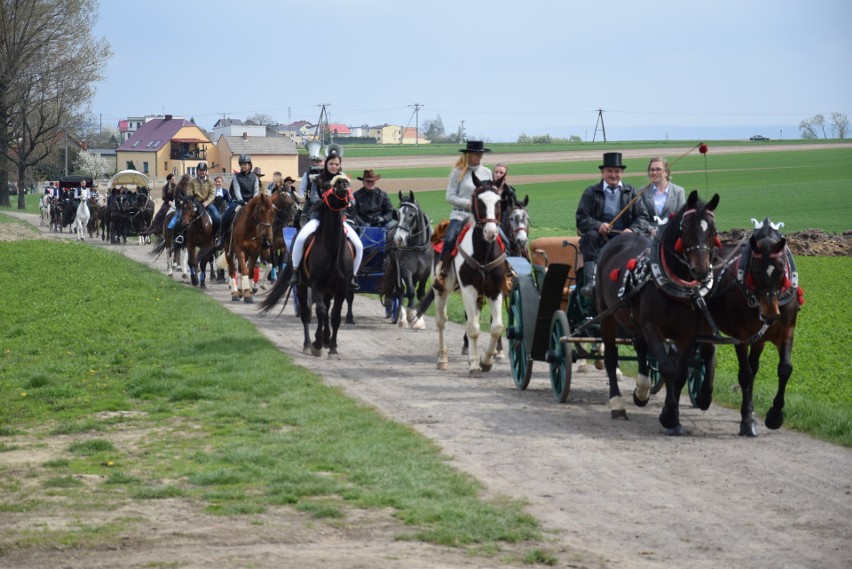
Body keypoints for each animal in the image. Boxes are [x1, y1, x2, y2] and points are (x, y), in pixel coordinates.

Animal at [260, 175, 352, 358]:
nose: (342, 183)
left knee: (327, 308)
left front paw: (332, 347)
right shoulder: (316, 285)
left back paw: (326, 338)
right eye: (325, 186)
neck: (332, 250)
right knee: (306, 314)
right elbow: (320, 311)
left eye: (344, 179)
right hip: (302, 286)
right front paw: (317, 344)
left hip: (328, 290)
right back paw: (308, 343)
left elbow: (335, 315)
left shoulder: (341, 288)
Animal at [380, 190, 432, 328]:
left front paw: (418, 319)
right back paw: (401, 318)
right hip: (396, 268)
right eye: (398, 214)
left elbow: (421, 293)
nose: (398, 239)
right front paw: (410, 315)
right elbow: (410, 292)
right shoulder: (405, 270)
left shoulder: (426, 272)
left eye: (411, 214)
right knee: (400, 291)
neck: (418, 247)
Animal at [432, 175, 506, 374]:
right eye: (478, 200)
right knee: (441, 321)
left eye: (498, 202)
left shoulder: (495, 290)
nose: (490, 232)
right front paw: (474, 364)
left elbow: (496, 327)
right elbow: (473, 328)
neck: (483, 254)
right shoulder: (468, 289)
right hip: (441, 290)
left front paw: (486, 361)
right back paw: (442, 359)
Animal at [596, 191, 724, 434]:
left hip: (633, 321)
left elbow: (680, 372)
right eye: (686, 228)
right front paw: (670, 417)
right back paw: (617, 404)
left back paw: (641, 391)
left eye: (712, 230)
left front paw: (672, 416)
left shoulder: (688, 333)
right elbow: (667, 367)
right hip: (607, 314)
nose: (701, 271)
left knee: (640, 349)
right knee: (611, 357)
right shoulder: (650, 326)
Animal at [708, 216, 804, 434]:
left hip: (759, 339)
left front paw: (775, 415)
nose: (770, 314)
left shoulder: (785, 332)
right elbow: (745, 375)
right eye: (755, 269)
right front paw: (746, 420)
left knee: (754, 366)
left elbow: (784, 369)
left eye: (781, 269)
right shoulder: (740, 336)